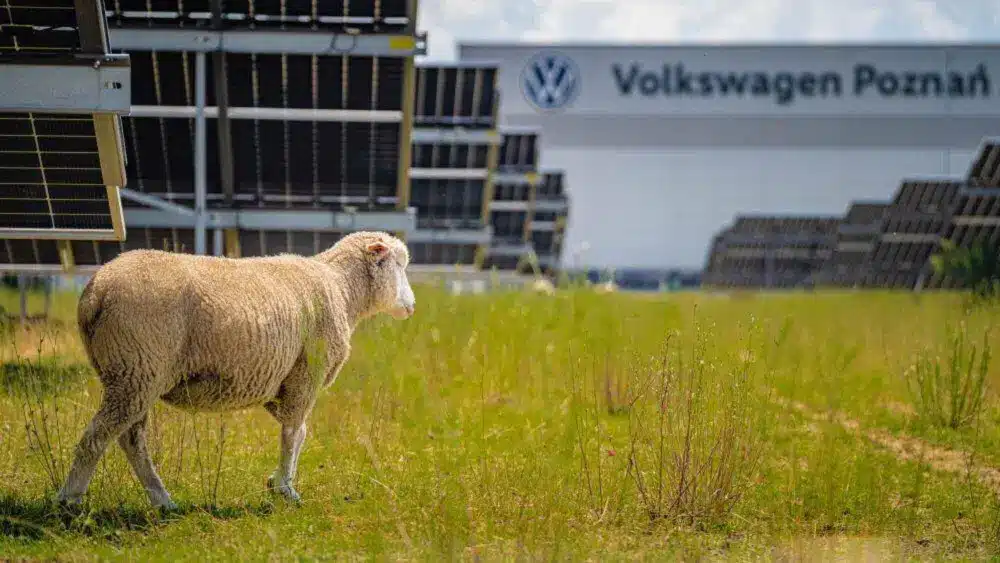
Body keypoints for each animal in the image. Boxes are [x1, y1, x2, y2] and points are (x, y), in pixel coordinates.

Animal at [55, 231, 416, 510]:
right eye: (399, 265)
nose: (411, 306)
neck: (342, 287)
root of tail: (96, 290)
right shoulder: (306, 373)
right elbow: (294, 432)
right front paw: (285, 488)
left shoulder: (283, 381)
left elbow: (297, 432)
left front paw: (277, 481)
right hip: (137, 366)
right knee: (98, 437)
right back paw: (70, 500)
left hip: (130, 372)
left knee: (130, 439)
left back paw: (162, 500)